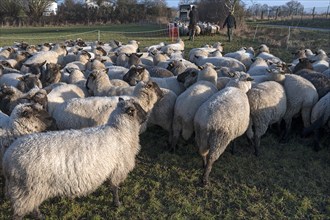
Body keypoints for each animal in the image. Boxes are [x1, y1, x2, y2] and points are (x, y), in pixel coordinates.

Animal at [2, 99, 147, 219]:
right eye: (138, 108)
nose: (146, 116)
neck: (120, 131)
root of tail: (8, 158)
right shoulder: (118, 168)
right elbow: (114, 188)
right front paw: (117, 203)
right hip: (26, 190)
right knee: (18, 214)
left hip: (31, 190)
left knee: (32, 206)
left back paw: (40, 216)